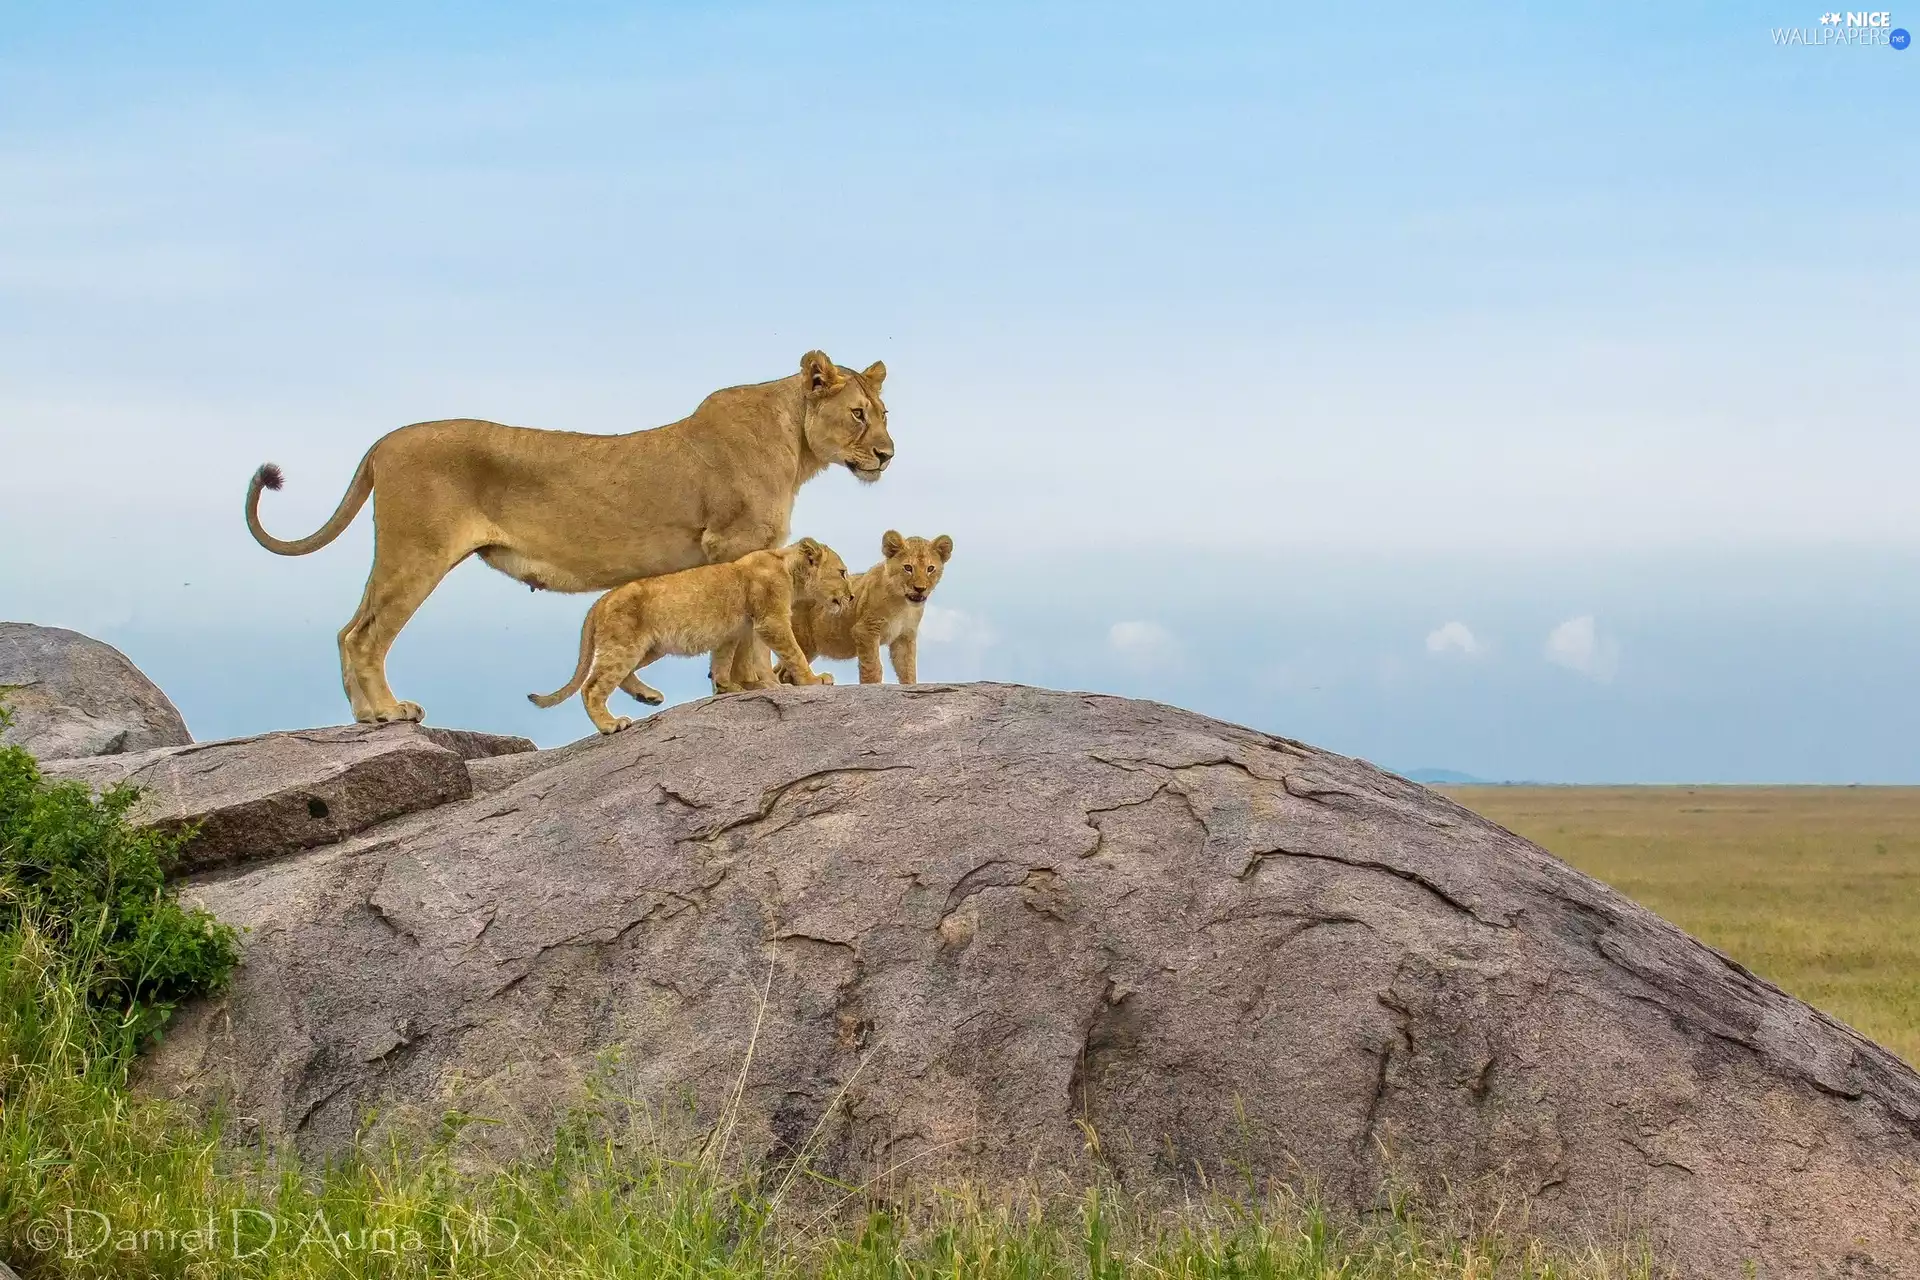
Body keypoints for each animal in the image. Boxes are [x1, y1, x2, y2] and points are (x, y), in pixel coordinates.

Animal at [529, 538, 854, 734]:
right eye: (842, 572)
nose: (851, 597)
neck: (787, 568)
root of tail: (601, 600)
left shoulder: (741, 628)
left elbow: (729, 660)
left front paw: (737, 688)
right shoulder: (770, 620)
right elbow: (793, 653)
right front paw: (813, 681)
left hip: (648, 648)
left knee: (622, 676)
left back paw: (648, 696)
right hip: (625, 644)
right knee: (593, 686)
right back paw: (610, 724)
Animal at [781, 530, 953, 685]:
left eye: (930, 569)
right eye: (908, 568)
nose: (920, 589)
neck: (904, 605)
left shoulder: (904, 636)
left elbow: (907, 668)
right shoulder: (865, 630)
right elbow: (873, 666)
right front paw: (873, 685)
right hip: (804, 642)